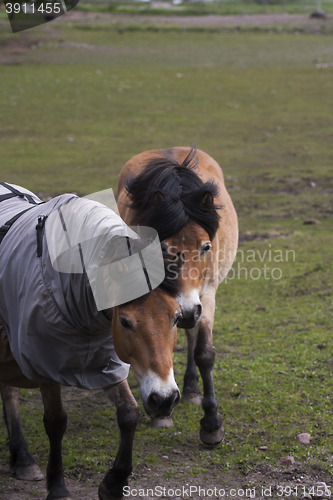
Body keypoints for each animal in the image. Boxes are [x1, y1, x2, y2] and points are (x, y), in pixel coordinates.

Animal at [118, 147, 237, 446]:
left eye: (206, 247)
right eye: (163, 248)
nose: (186, 311)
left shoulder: (205, 296)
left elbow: (204, 352)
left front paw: (212, 424)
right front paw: (161, 413)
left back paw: (192, 388)